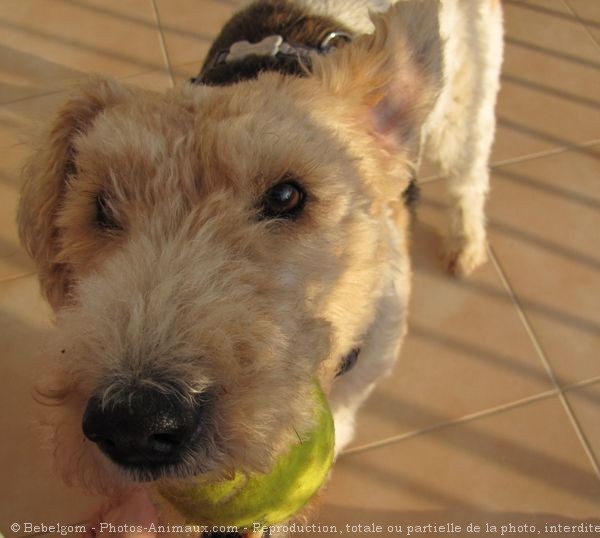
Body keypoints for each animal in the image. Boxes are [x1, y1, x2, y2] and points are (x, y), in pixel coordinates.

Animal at [17, 1, 502, 532]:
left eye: (287, 195)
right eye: (100, 206)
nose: (134, 424)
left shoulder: (367, 368)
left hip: (462, 117)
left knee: (470, 177)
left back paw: (466, 244)